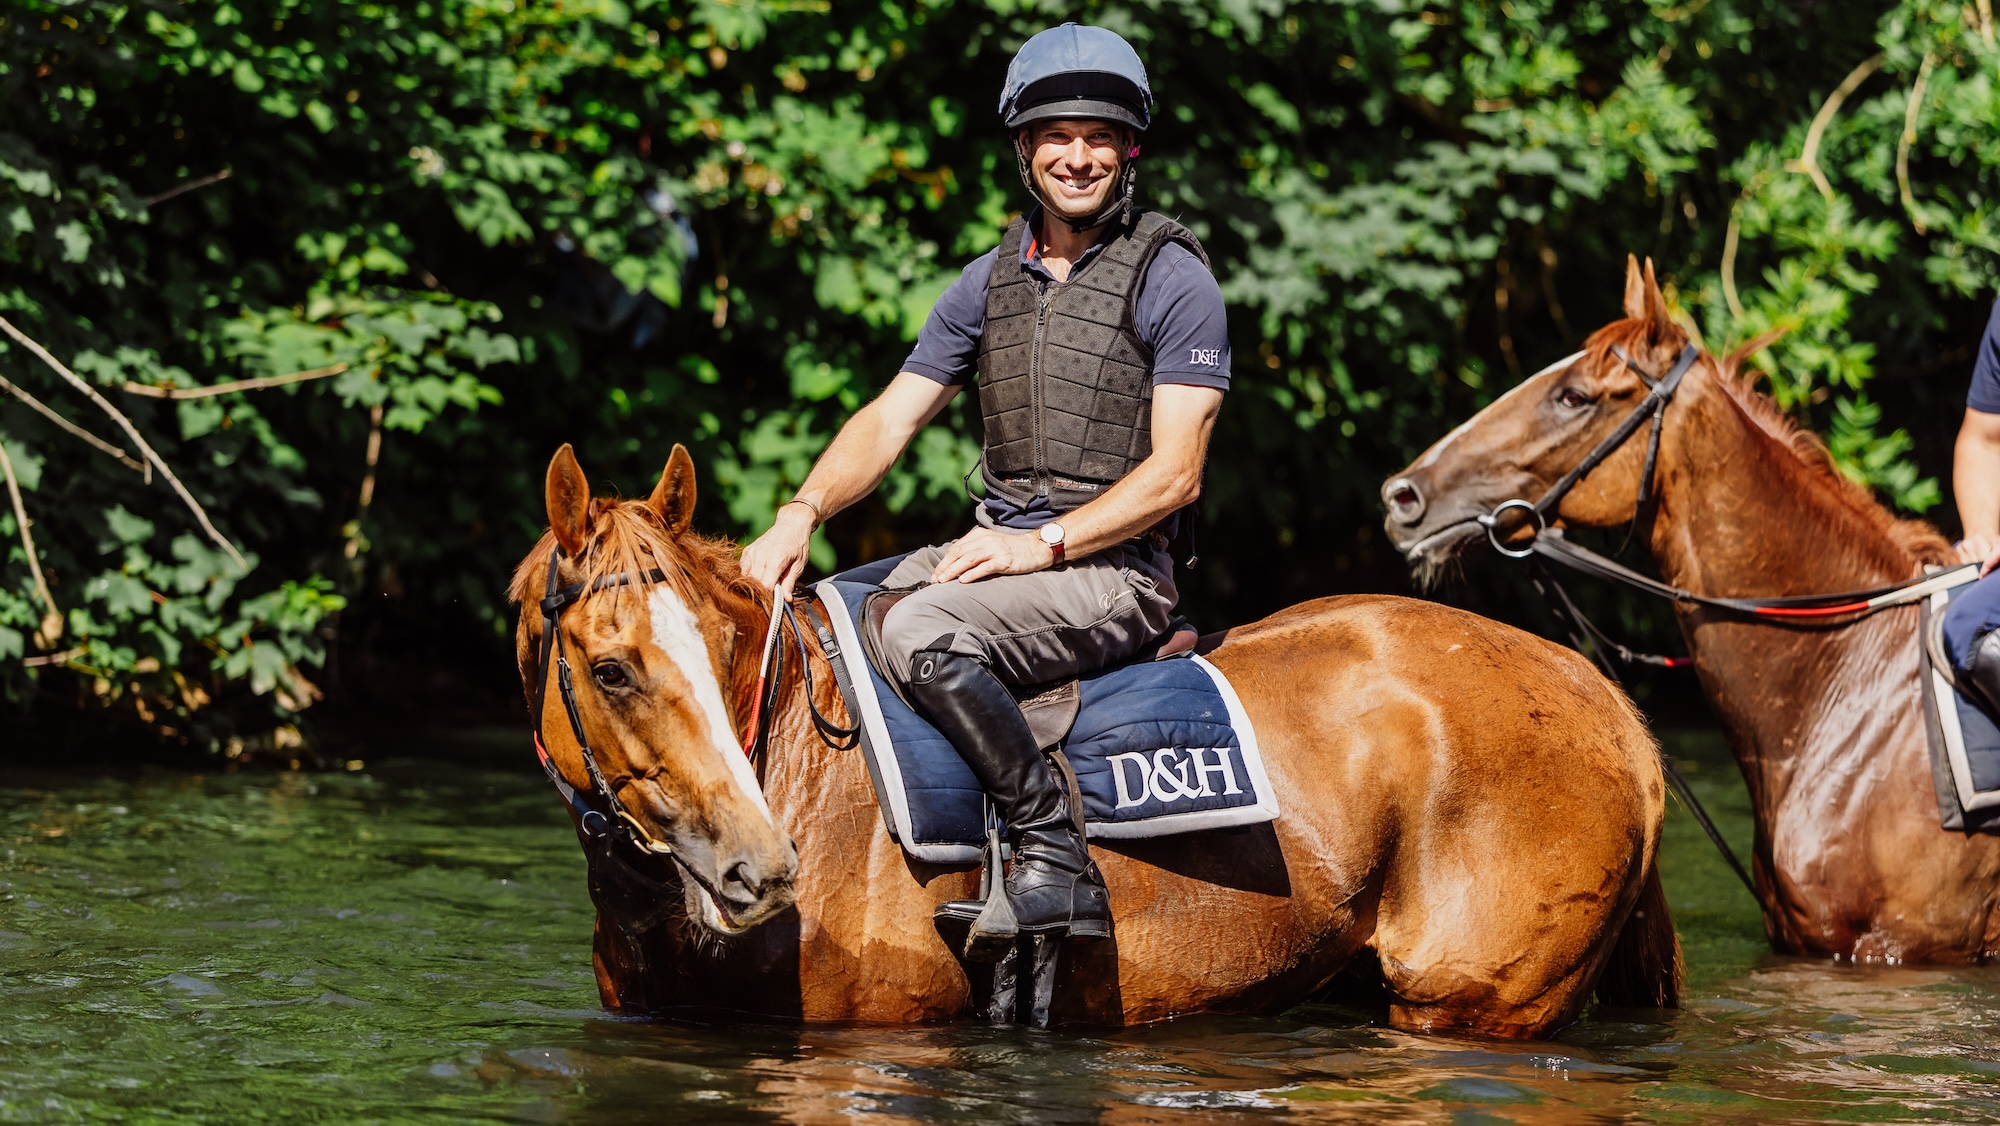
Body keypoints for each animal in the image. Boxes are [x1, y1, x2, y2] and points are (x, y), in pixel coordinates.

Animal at [509, 440, 1681, 1034]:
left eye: (722, 648)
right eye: (612, 668)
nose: (759, 869)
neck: (801, 763)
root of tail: (1597, 695)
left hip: (1478, 1003)